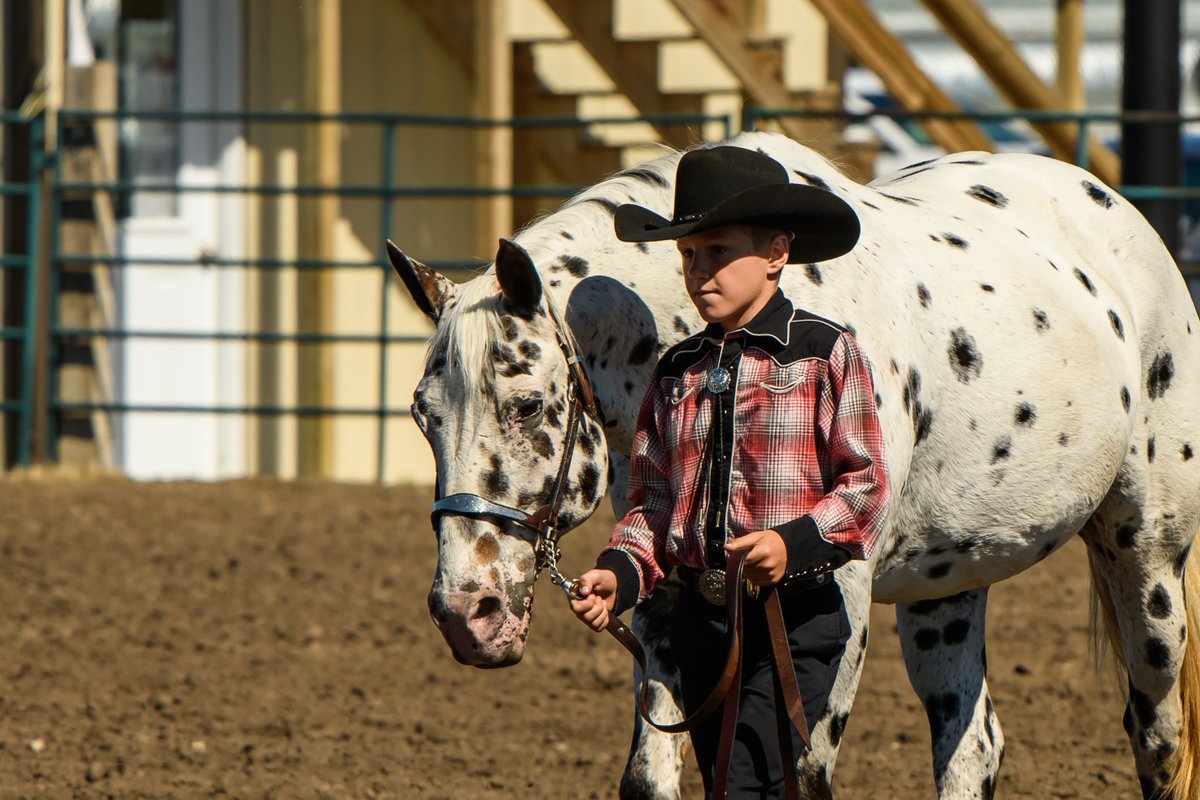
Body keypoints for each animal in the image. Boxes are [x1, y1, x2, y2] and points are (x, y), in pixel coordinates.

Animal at [390, 129, 1200, 799]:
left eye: (527, 405)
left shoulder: (839, 587)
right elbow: (653, 774)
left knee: (1157, 740)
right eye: (423, 416)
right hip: (948, 587)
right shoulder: (667, 597)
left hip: (1147, 565)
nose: (465, 615)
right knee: (973, 746)